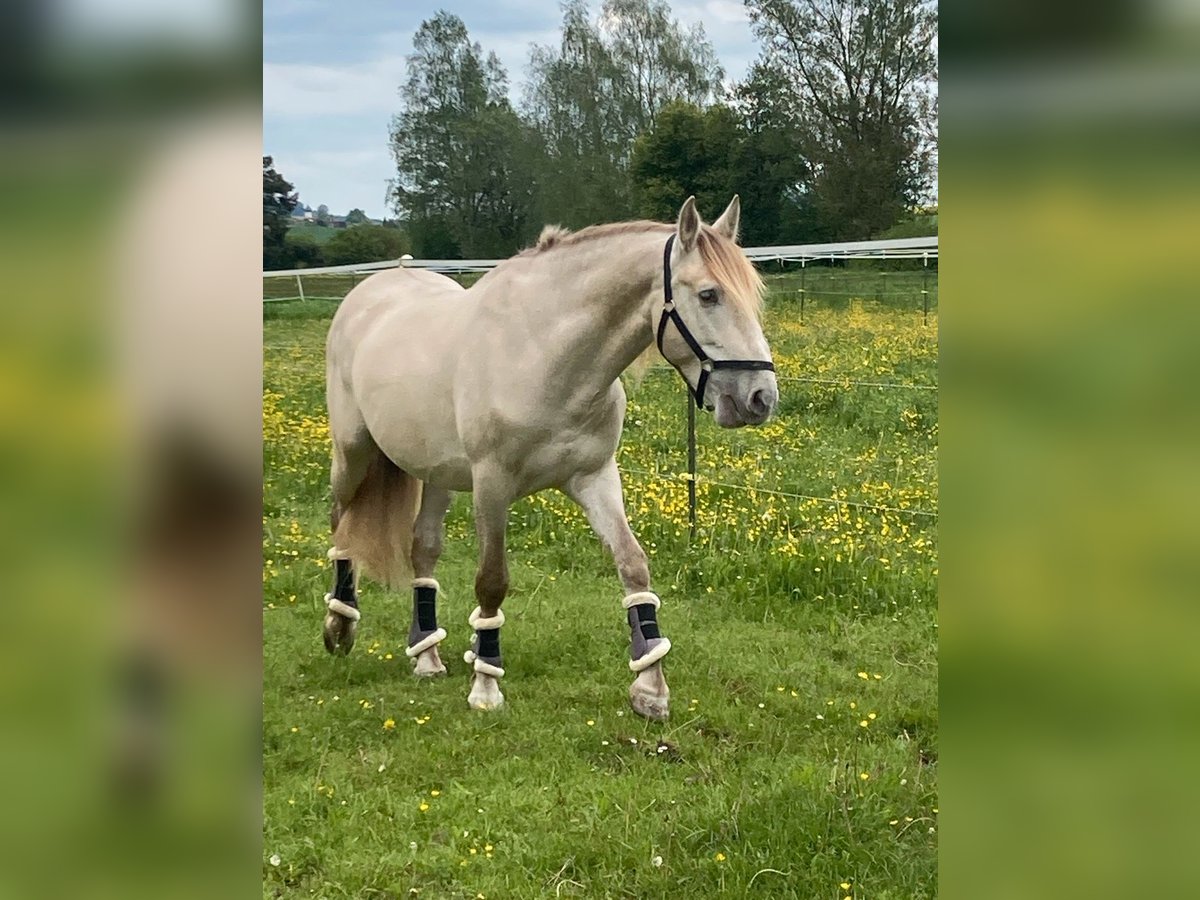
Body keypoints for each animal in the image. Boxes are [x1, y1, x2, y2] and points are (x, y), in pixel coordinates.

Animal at [319, 195, 777, 720]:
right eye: (708, 295)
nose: (761, 398)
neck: (544, 353)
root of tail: (372, 290)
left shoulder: (595, 478)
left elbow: (633, 565)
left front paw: (650, 687)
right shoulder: (492, 485)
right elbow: (492, 582)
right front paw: (486, 685)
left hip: (436, 474)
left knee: (423, 548)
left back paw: (427, 655)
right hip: (353, 454)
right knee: (341, 525)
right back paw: (339, 628)